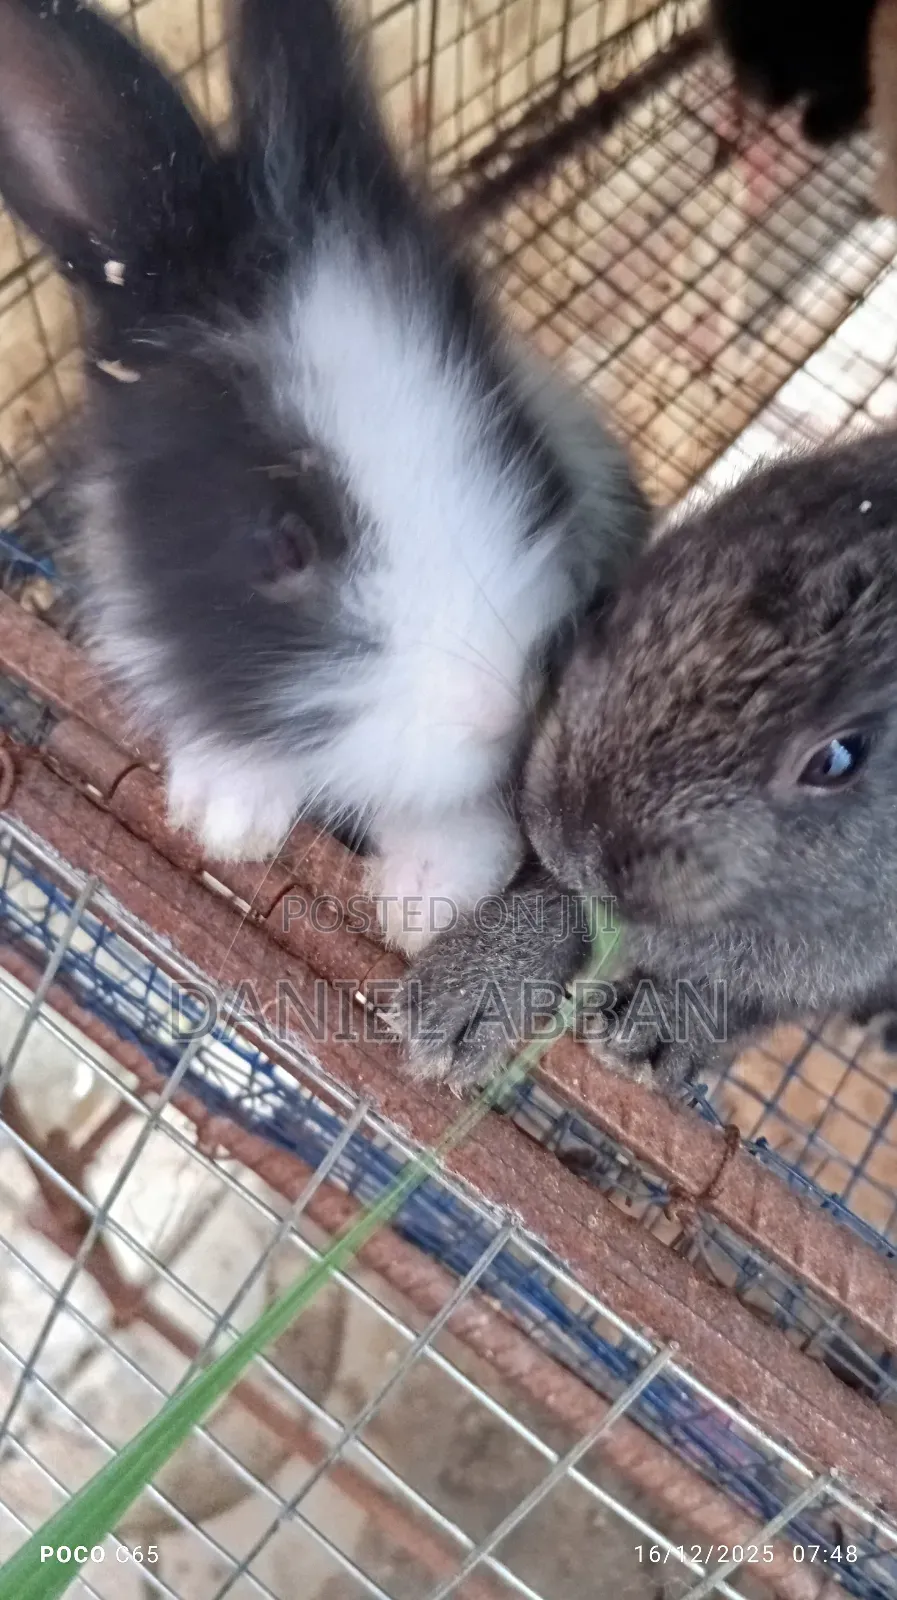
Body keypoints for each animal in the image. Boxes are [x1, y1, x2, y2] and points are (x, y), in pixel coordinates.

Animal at [395, 428, 897, 1088]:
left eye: (838, 758)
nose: (570, 843)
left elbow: (741, 1001)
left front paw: (653, 1032)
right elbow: (557, 906)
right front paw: (462, 999)